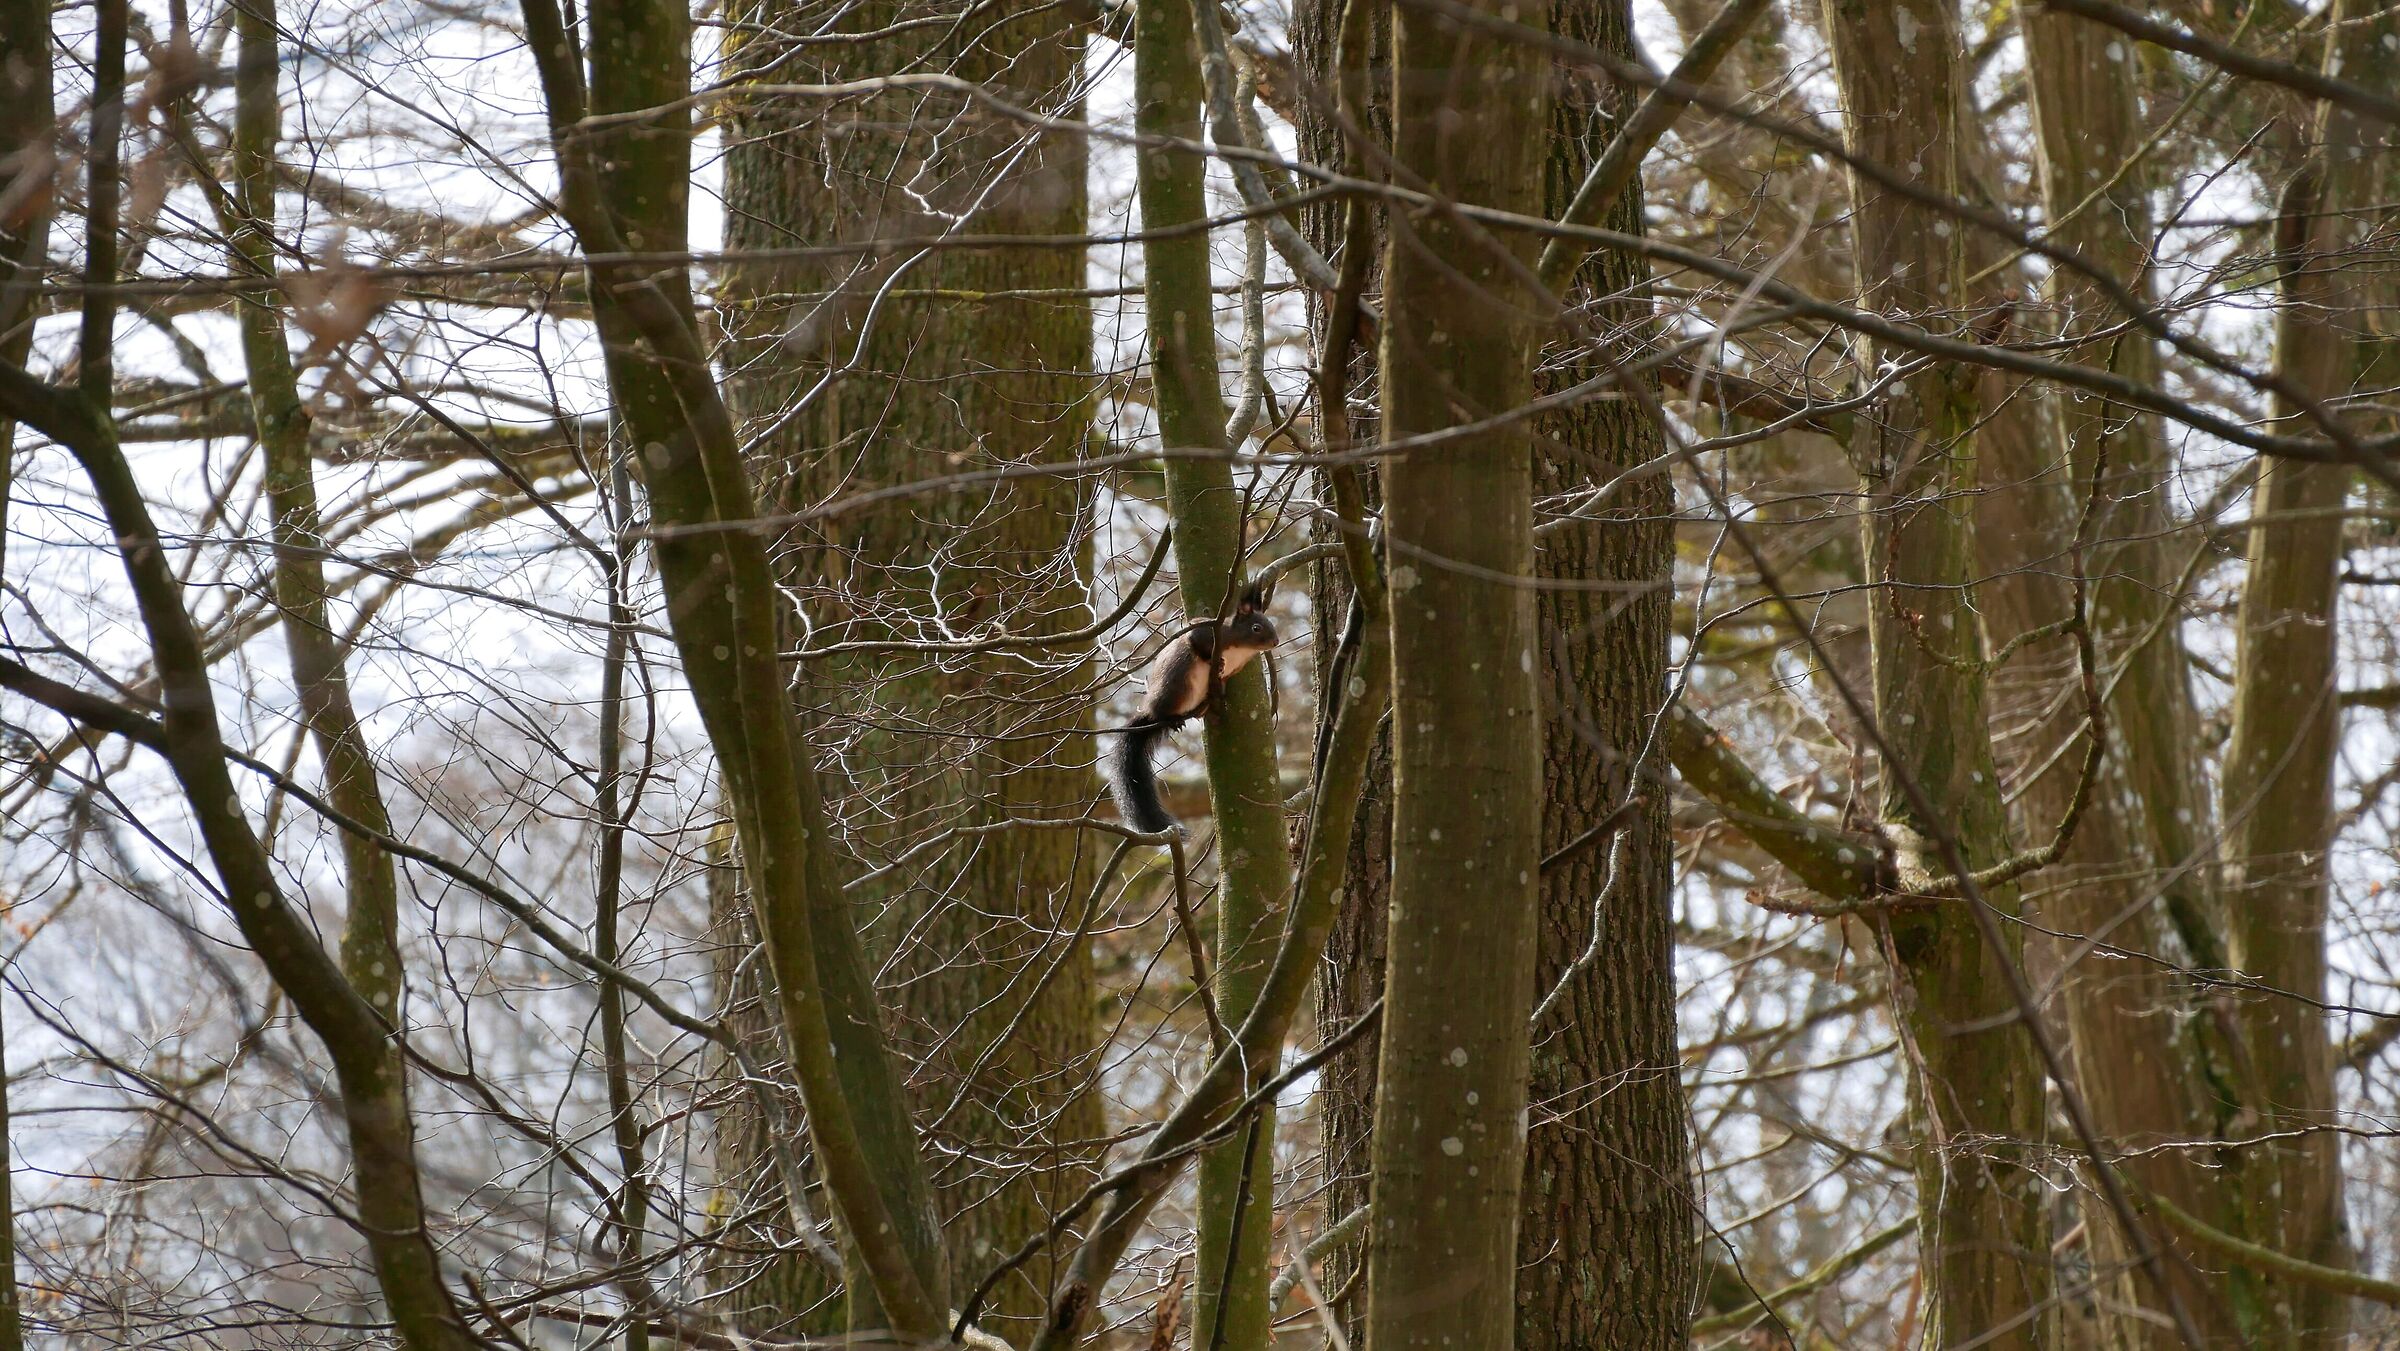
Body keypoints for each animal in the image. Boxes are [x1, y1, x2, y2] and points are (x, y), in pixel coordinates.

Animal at [1105, 581, 1280, 836]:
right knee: (1164, 712)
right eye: (1256, 627)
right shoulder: (1206, 633)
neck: (1240, 650)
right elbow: (1196, 641)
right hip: (1175, 691)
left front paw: (1221, 689)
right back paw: (1173, 719)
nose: (1275, 642)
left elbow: (1225, 679)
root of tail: (1149, 710)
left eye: (1270, 623)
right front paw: (1214, 661)